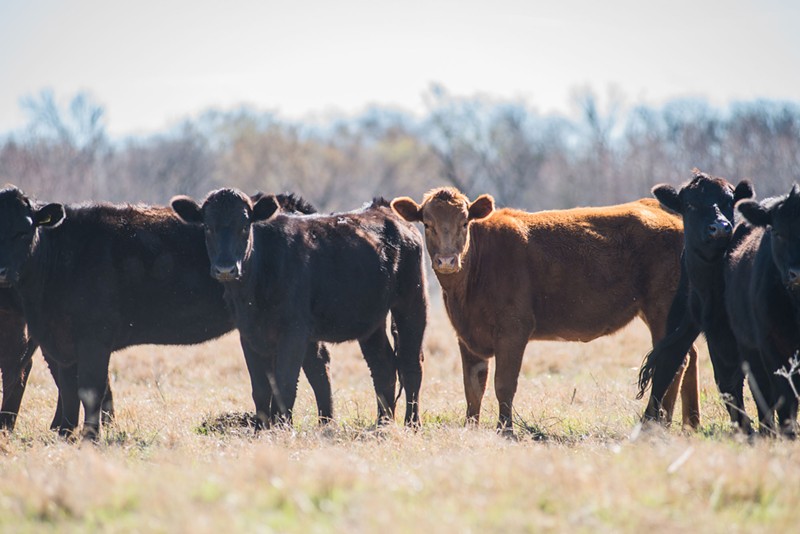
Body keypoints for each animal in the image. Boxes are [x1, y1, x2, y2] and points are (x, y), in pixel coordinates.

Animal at [0, 186, 334, 442]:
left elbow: (91, 388)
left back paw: (325, 424)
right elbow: (68, 389)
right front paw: (64, 435)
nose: (2, 271)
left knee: (315, 366)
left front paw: (90, 438)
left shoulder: (94, 338)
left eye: (23, 231)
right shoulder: (57, 341)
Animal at [172, 191, 428, 430]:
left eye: (244, 226)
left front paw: (281, 429)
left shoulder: (294, 331)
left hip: (412, 302)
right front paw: (260, 430)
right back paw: (383, 423)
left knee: (410, 364)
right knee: (383, 366)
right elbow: (261, 388)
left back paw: (411, 424)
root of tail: (385, 208)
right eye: (207, 227)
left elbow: (284, 384)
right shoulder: (248, 333)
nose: (225, 268)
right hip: (370, 321)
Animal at [394, 188, 700, 436]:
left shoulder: (513, 330)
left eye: (464, 222)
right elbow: (473, 387)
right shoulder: (467, 336)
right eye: (428, 224)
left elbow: (503, 384)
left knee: (675, 360)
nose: (447, 260)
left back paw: (657, 423)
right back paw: (689, 423)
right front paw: (471, 428)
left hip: (661, 308)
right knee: (690, 356)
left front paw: (505, 430)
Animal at [728, 188, 800, 440]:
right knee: (763, 391)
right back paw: (767, 431)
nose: (796, 273)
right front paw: (789, 433)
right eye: (776, 232)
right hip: (749, 348)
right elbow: (785, 393)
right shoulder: (770, 344)